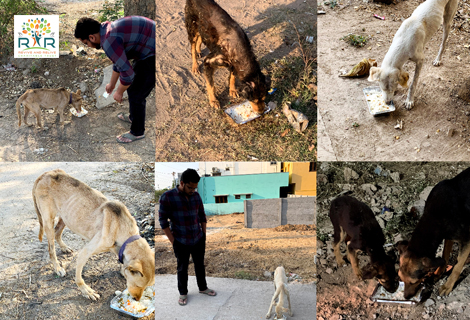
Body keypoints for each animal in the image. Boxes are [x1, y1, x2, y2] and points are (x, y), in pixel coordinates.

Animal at [33, 169, 154, 302]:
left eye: (146, 286)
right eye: (138, 285)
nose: (136, 299)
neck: (123, 229)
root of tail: (45, 173)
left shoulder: (117, 249)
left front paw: (123, 270)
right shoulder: (85, 252)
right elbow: (78, 277)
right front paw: (86, 291)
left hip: (66, 217)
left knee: (57, 233)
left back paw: (64, 248)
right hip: (48, 221)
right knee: (51, 248)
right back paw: (57, 268)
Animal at [396, 166, 470, 298]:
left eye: (414, 282)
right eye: (400, 277)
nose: (406, 297)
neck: (434, 217)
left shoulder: (465, 240)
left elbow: (457, 267)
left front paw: (447, 286)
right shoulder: (448, 236)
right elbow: (444, 257)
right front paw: (438, 273)